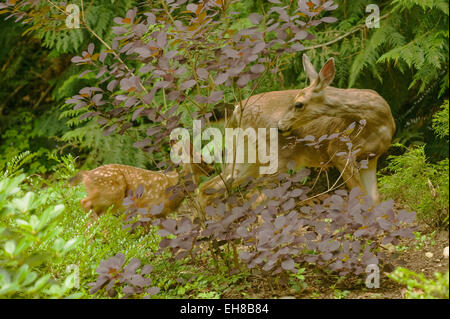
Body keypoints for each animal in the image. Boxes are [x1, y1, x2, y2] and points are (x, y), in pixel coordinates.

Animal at [199, 54, 396, 210]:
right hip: (277, 158)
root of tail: (237, 109)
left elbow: (375, 198)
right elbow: (362, 196)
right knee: (254, 194)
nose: (280, 126)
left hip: (245, 156)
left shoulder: (370, 157)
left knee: (208, 188)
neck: (378, 120)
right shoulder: (338, 150)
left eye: (298, 104)